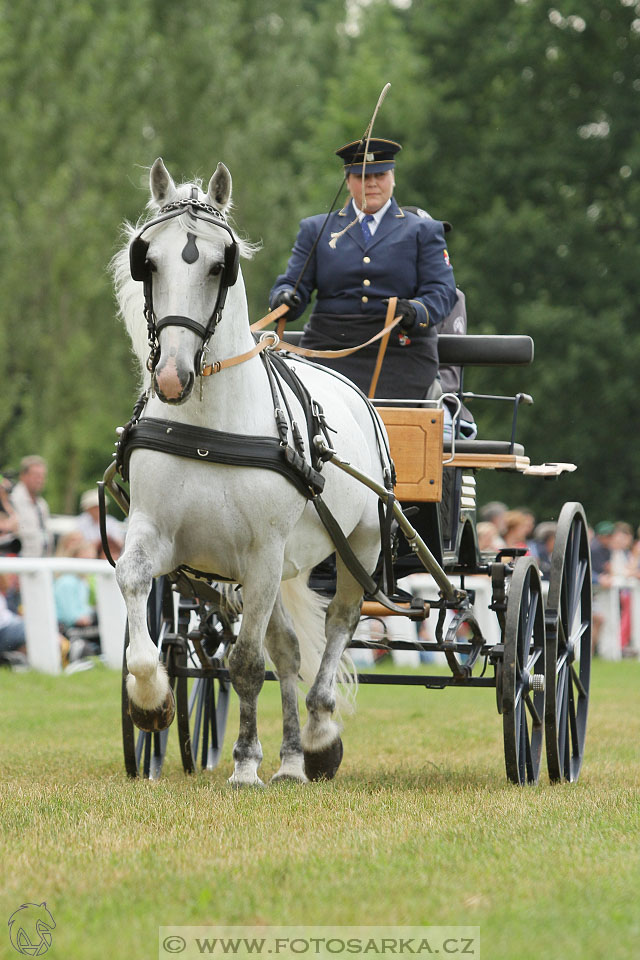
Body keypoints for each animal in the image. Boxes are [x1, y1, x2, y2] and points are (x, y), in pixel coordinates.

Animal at [112, 159, 388, 788]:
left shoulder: (262, 552)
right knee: (286, 649)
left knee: (337, 624)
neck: (209, 429)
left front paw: (243, 763)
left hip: (358, 545)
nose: (172, 377)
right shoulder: (157, 534)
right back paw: (289, 759)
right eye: (148, 261)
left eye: (220, 265)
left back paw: (317, 734)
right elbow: (132, 587)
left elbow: (243, 663)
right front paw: (151, 700)